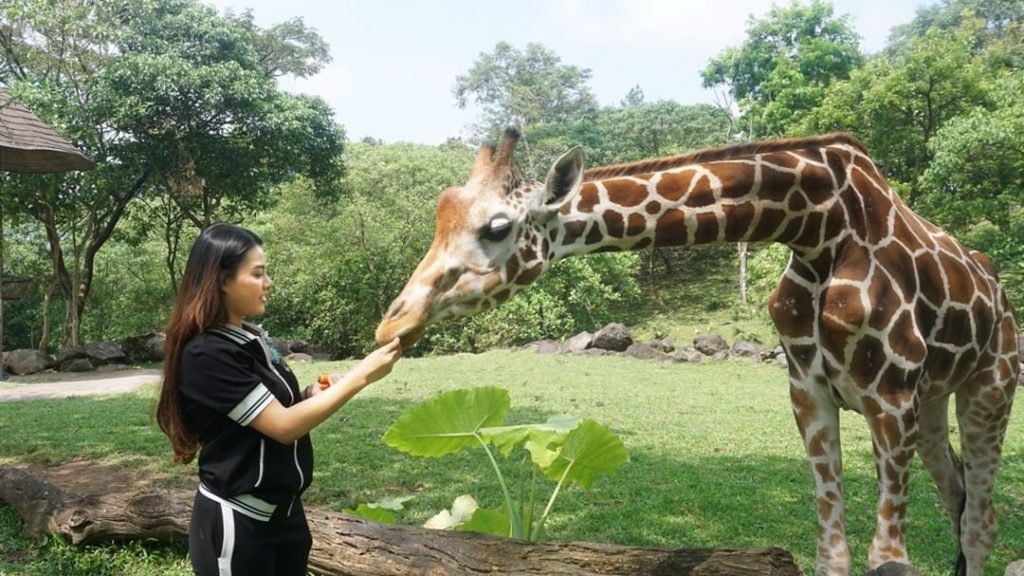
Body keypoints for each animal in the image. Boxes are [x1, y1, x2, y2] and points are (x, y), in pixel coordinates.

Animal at [374, 129, 1015, 573]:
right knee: (958, 499)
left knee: (981, 521)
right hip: (931, 405)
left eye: (497, 227)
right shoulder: (809, 393)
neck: (817, 228)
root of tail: (999, 291)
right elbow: (833, 553)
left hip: (988, 388)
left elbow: (890, 561)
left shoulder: (890, 393)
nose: (391, 323)